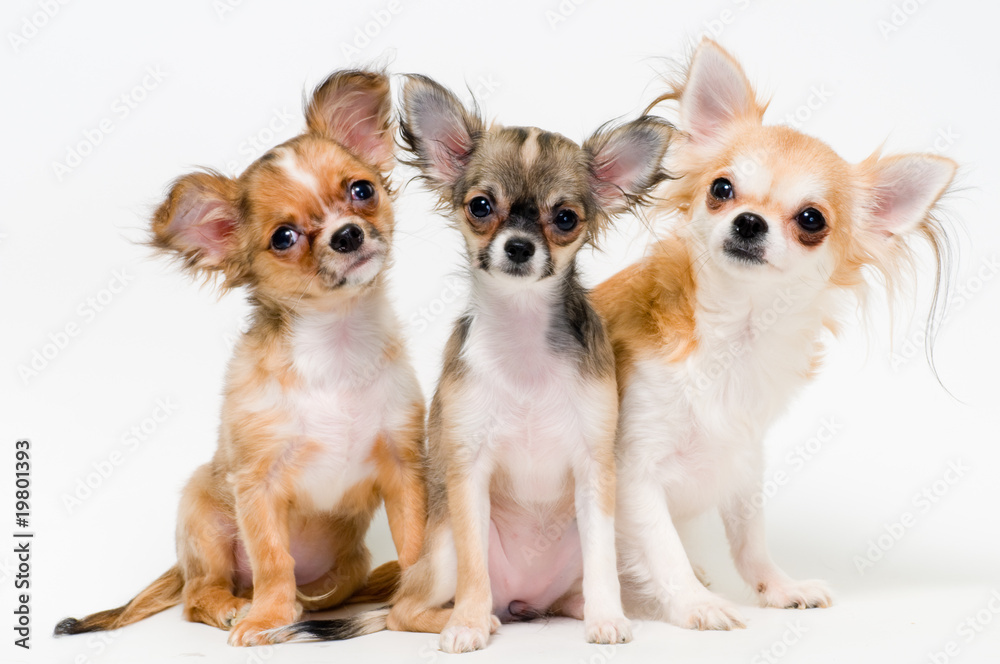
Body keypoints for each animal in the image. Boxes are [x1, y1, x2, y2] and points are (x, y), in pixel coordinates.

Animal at [55, 70, 426, 644]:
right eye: (284, 237)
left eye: (361, 190)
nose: (347, 234)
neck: (336, 345)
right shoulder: (257, 484)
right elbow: (273, 559)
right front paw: (267, 619)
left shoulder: (403, 465)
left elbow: (415, 544)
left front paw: (426, 601)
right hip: (203, 519)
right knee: (198, 595)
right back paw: (236, 606)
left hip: (348, 568)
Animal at [276, 75, 672, 652]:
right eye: (481, 206)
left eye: (565, 218)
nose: (520, 246)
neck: (522, 337)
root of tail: (522, 600)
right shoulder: (468, 470)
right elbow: (473, 567)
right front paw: (465, 623)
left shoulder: (595, 469)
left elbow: (602, 561)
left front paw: (607, 619)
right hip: (438, 552)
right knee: (405, 610)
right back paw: (469, 617)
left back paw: (577, 609)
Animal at [588, 39, 956, 632]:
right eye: (721, 189)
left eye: (811, 220)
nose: (749, 221)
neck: (734, 334)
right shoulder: (633, 470)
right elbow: (663, 546)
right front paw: (694, 603)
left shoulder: (742, 460)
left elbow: (749, 539)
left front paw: (777, 587)